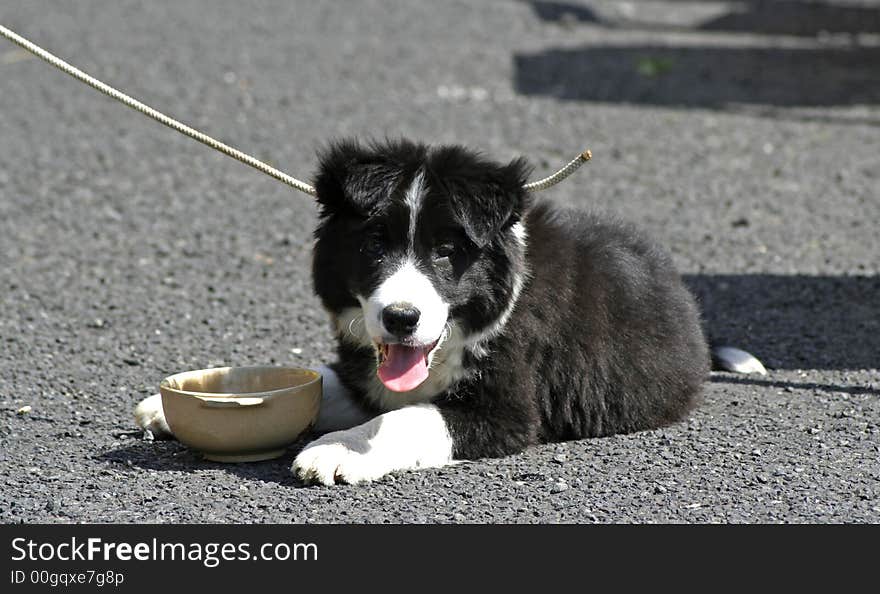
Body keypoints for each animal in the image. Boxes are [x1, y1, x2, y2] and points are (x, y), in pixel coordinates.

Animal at [136, 138, 708, 480]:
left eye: (447, 251)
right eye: (373, 245)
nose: (401, 318)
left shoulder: (506, 408)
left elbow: (408, 415)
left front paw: (336, 451)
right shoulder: (365, 370)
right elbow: (326, 385)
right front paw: (169, 406)